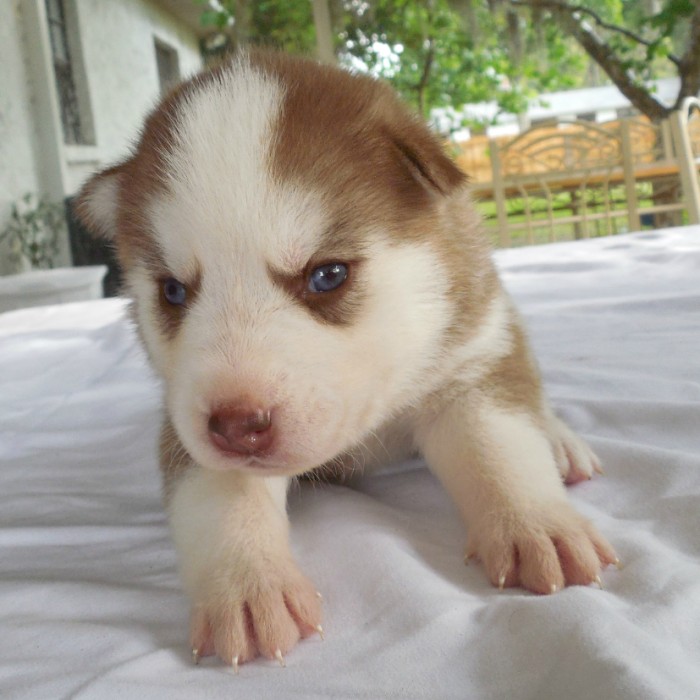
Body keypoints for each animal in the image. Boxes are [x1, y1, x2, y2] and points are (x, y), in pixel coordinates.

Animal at [74, 50, 616, 668]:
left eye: (327, 274)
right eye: (172, 292)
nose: (236, 426)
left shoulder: (468, 361)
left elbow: (498, 447)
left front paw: (537, 524)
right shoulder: (184, 420)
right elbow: (220, 499)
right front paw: (248, 585)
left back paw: (561, 443)